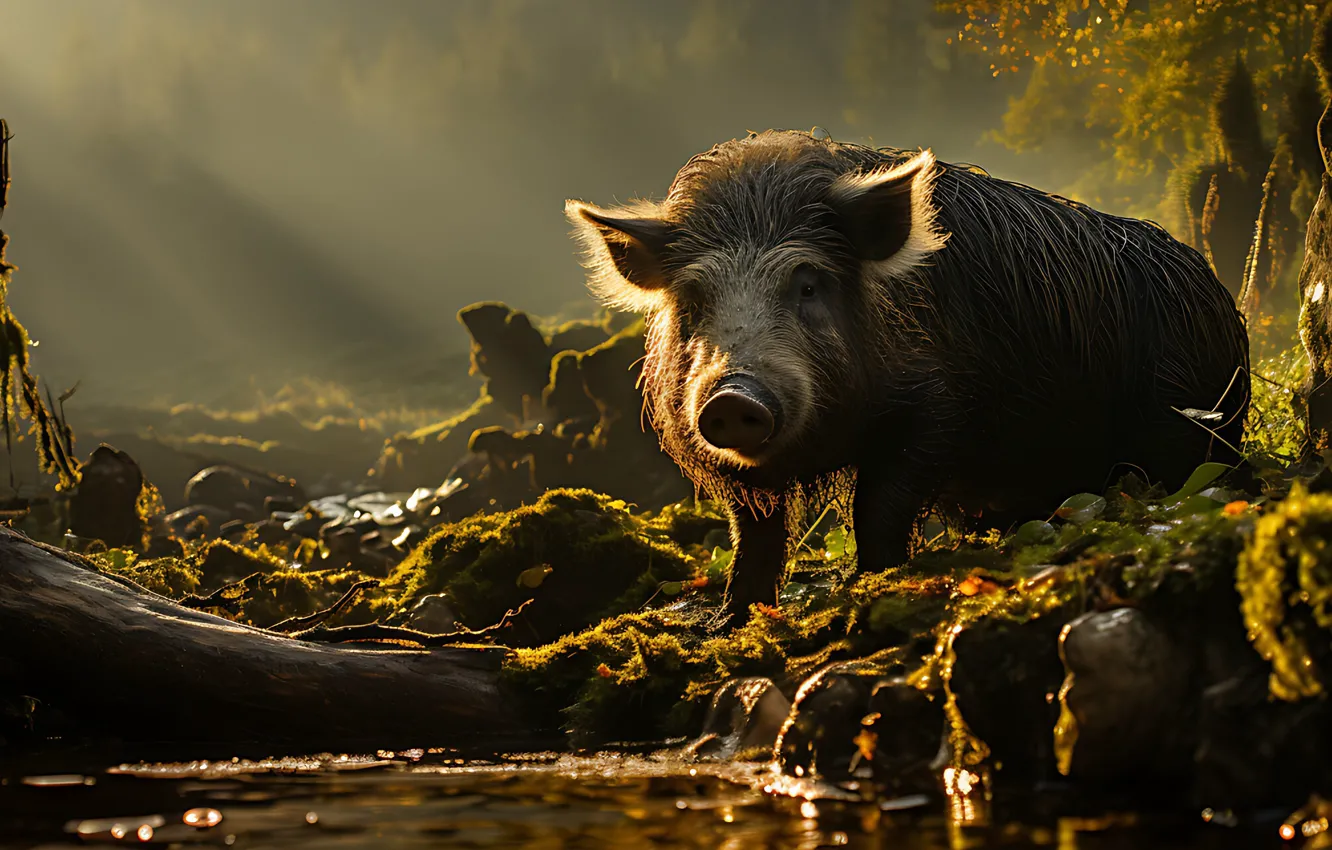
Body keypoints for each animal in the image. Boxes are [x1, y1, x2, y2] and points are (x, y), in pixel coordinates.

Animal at [565, 129, 1250, 620]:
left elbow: (879, 503)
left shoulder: (936, 409)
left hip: (1190, 419)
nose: (733, 396)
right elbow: (754, 533)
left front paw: (875, 585)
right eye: (695, 298)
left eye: (807, 284)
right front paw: (731, 622)